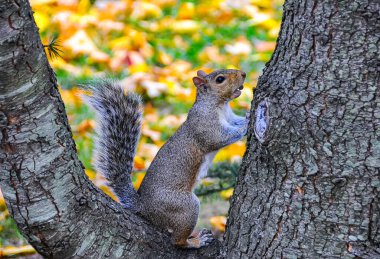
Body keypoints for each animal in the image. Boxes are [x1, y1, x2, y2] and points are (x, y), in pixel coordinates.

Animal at [84, 69, 249, 250]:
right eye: (220, 79)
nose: (243, 74)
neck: (219, 105)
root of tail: (145, 208)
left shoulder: (230, 117)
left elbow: (236, 121)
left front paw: (249, 113)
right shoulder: (205, 126)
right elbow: (219, 138)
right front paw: (247, 125)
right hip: (184, 207)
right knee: (177, 241)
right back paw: (196, 241)